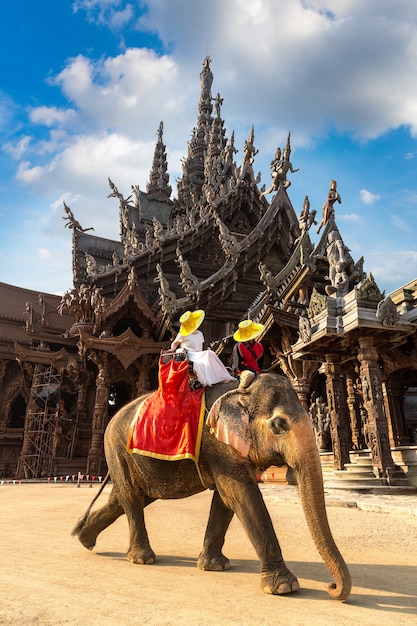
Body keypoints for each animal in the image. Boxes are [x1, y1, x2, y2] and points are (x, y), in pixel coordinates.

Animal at [72, 370, 352, 600]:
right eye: (279, 425)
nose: (331, 587)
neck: (241, 391)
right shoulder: (217, 444)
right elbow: (242, 495)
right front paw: (284, 587)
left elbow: (225, 499)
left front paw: (215, 566)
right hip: (116, 447)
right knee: (131, 498)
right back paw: (141, 559)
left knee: (125, 498)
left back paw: (84, 539)